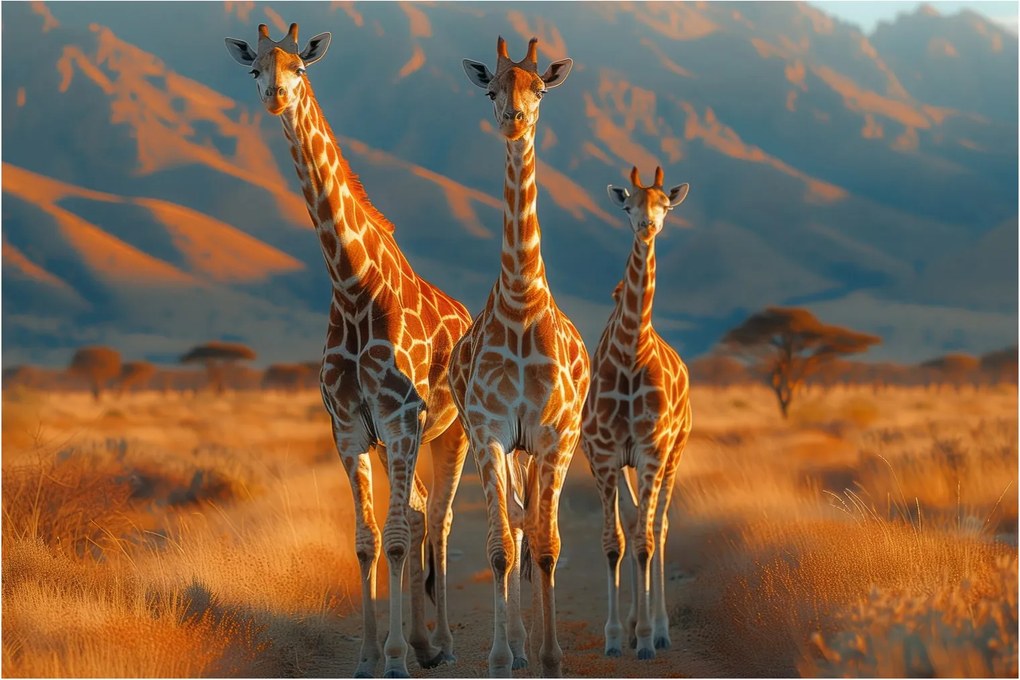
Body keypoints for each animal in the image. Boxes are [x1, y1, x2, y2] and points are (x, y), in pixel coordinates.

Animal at [225, 24, 472, 678]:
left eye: (299, 68)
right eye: (254, 69)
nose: (275, 97)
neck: (354, 286)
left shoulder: (402, 419)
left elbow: (397, 537)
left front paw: (396, 658)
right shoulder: (350, 428)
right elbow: (367, 540)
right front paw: (369, 655)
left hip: (452, 433)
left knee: (439, 520)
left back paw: (442, 644)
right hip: (398, 441)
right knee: (418, 513)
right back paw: (422, 642)